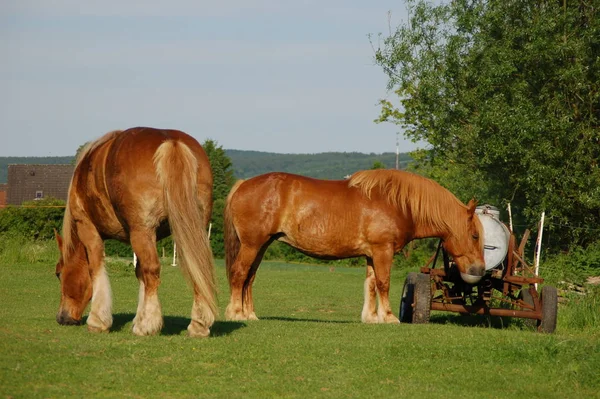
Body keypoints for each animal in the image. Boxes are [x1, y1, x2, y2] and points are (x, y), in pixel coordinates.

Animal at [54, 128, 218, 338]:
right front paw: (138, 318)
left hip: (142, 231)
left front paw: (99, 321)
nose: (62, 318)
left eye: (59, 274)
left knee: (153, 270)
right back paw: (198, 325)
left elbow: (96, 268)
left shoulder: (88, 228)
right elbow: (140, 273)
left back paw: (147, 326)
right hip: (191, 229)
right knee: (197, 268)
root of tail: (171, 141)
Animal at [223, 170, 486, 324]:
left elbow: (370, 284)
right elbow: (383, 282)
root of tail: (243, 184)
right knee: (239, 274)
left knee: (249, 278)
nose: (479, 270)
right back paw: (235, 313)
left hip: (261, 245)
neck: (397, 203)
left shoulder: (372, 254)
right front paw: (388, 317)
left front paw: (371, 317)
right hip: (252, 245)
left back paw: (250, 314)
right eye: (474, 235)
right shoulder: (382, 250)